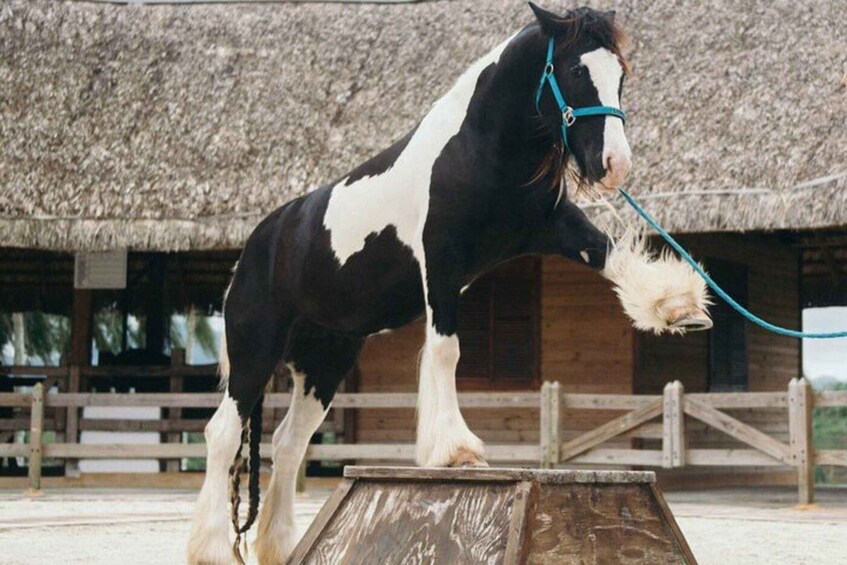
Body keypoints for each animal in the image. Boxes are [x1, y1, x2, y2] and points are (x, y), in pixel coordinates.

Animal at [188, 5, 710, 564]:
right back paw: (212, 548)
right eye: (574, 70)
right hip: (257, 349)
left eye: (621, 76)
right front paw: (455, 450)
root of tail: (258, 244)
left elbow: (611, 254)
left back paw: (282, 544)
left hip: (324, 360)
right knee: (223, 434)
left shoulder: (555, 227)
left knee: (288, 444)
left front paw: (677, 306)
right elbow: (446, 351)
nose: (614, 165)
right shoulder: (441, 262)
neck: (478, 151)